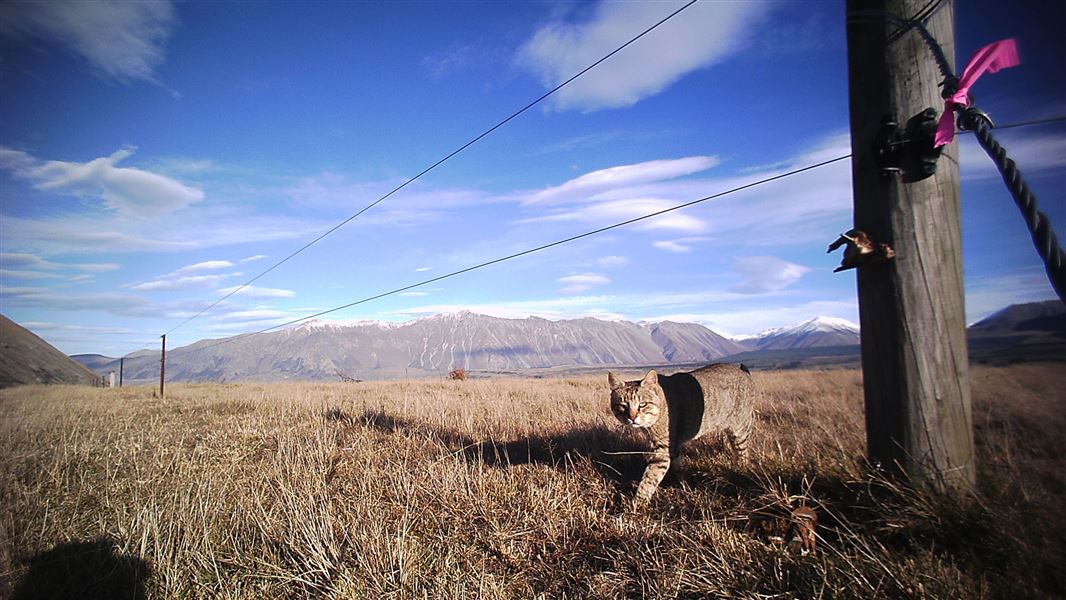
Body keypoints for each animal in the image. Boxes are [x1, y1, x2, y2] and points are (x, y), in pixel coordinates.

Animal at [609, 364, 758, 509]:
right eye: (623, 405)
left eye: (643, 404)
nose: (632, 418)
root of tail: (744, 372)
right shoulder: (673, 447)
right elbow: (677, 468)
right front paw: (682, 484)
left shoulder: (663, 451)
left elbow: (649, 479)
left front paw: (636, 504)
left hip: (740, 431)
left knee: (744, 455)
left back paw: (740, 472)